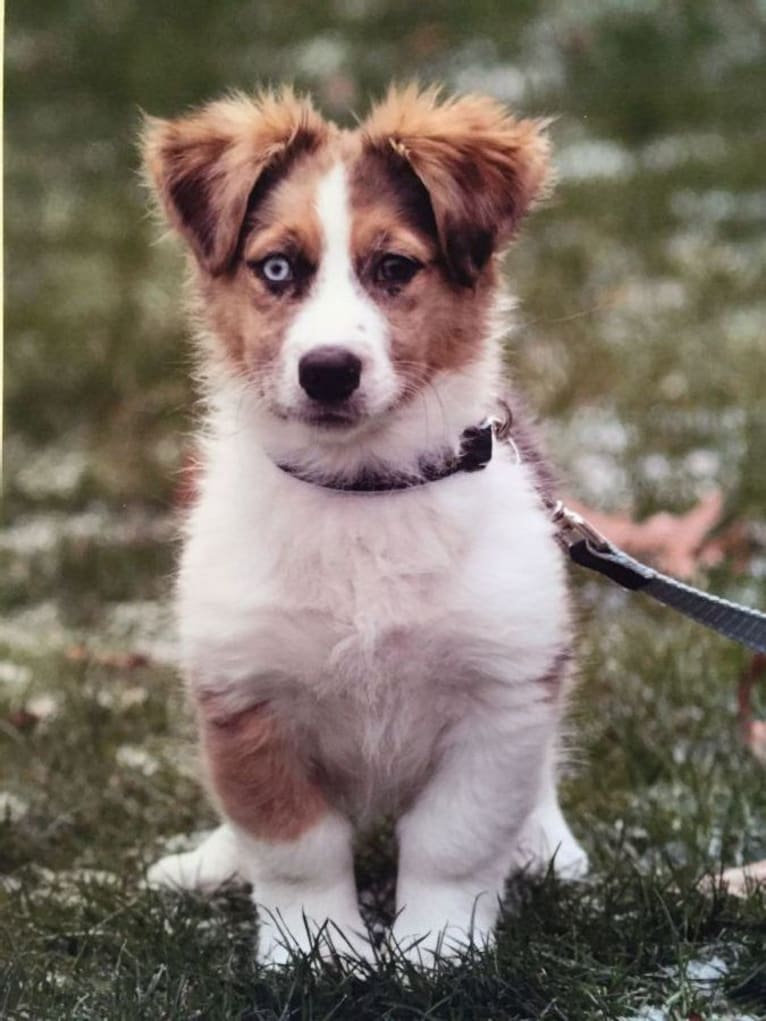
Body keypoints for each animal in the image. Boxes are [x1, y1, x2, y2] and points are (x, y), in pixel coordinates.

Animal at [142, 85, 588, 963]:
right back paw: (209, 860)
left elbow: (454, 839)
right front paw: (316, 953)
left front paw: (436, 951)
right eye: (278, 268)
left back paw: (545, 844)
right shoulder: (245, 695)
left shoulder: (502, 692)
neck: (362, 491)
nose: (327, 371)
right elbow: (295, 846)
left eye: (394, 268)